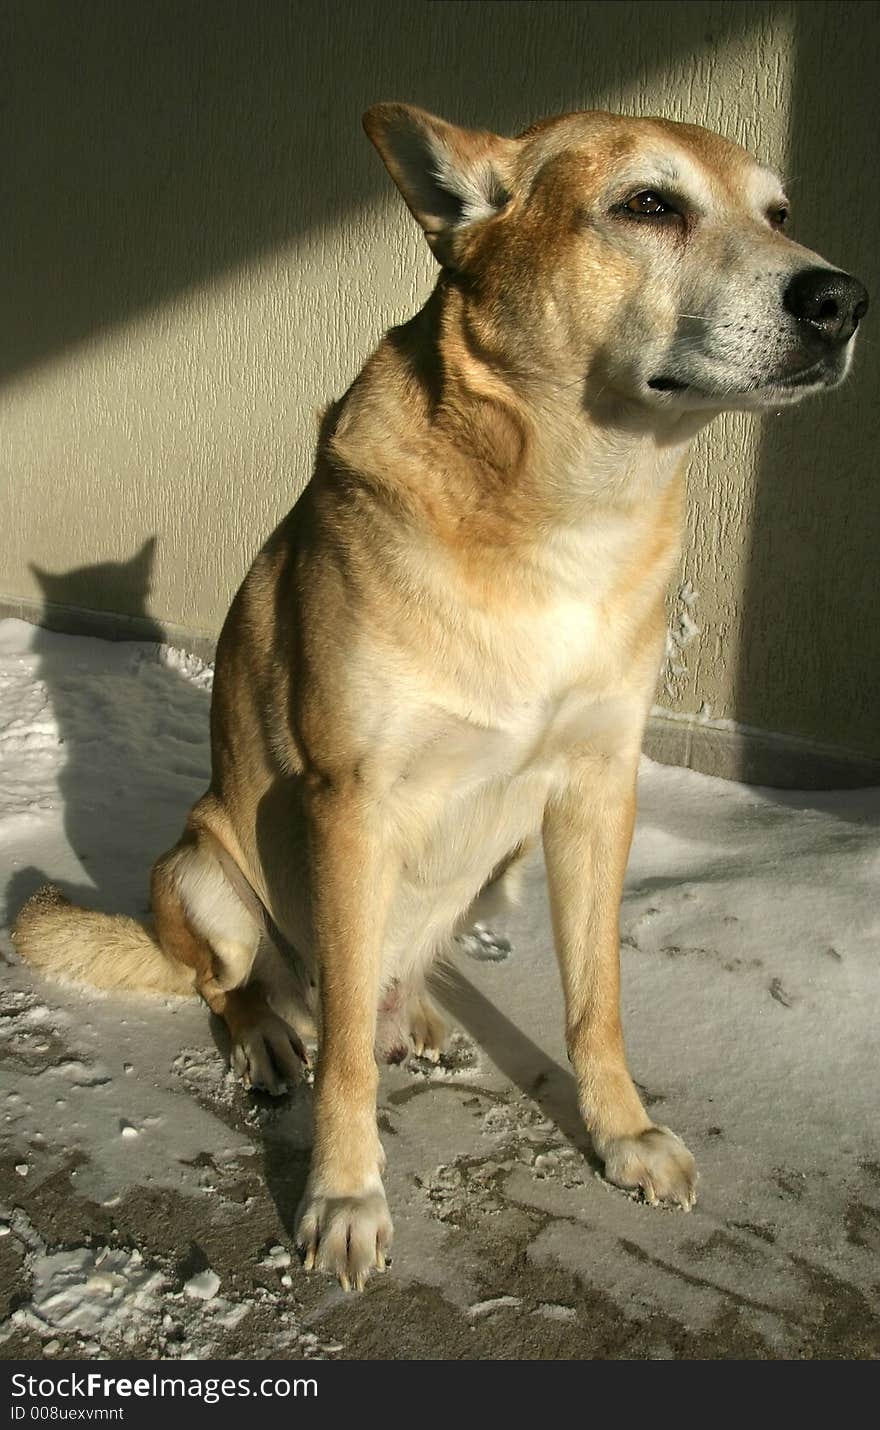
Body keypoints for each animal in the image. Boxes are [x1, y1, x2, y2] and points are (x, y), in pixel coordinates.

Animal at [13, 105, 869, 1292]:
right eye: (650, 204)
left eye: (779, 213)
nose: (841, 299)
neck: (564, 515)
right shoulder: (351, 803)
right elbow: (342, 1066)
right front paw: (342, 1194)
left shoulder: (596, 789)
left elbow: (597, 1000)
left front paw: (622, 1133)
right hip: (205, 872)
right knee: (248, 985)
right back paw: (273, 1032)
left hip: (491, 872)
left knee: (385, 973)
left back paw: (411, 1013)